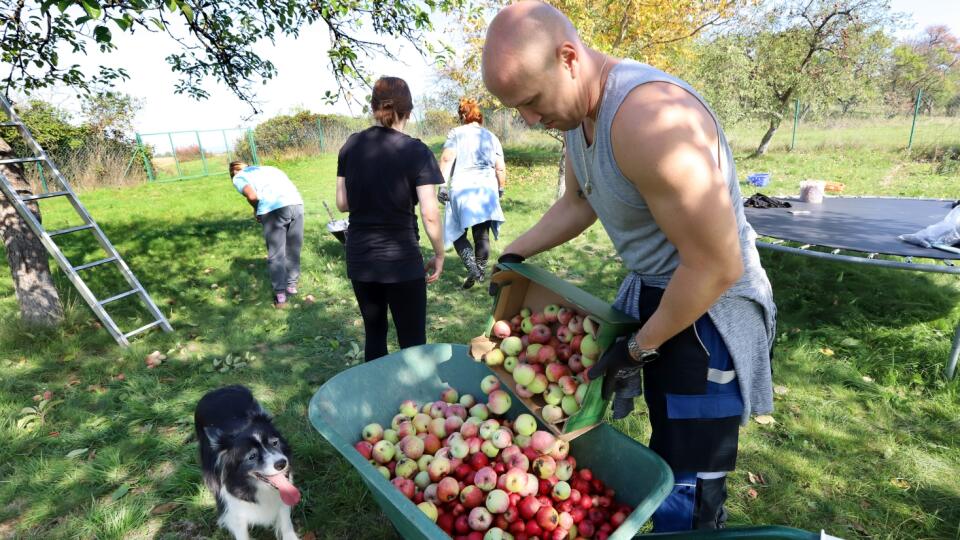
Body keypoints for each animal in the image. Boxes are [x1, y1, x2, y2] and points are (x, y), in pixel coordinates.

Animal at [193, 384, 298, 540]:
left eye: (274, 442)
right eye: (252, 456)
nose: (282, 463)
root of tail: (218, 390)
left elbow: (286, 524)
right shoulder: (234, 510)